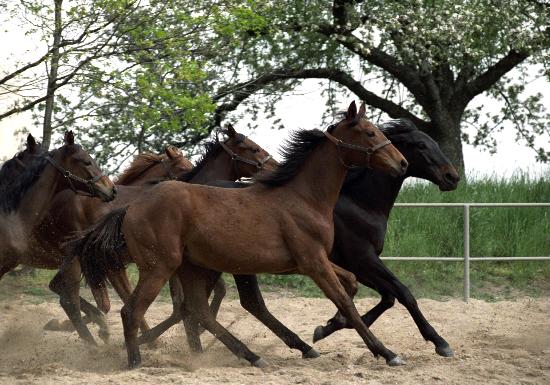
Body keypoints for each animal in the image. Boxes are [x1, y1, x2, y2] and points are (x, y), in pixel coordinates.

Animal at [51, 127, 276, 344]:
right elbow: (180, 306)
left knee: (66, 289)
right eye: (253, 148)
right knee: (76, 295)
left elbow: (198, 299)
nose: (274, 166)